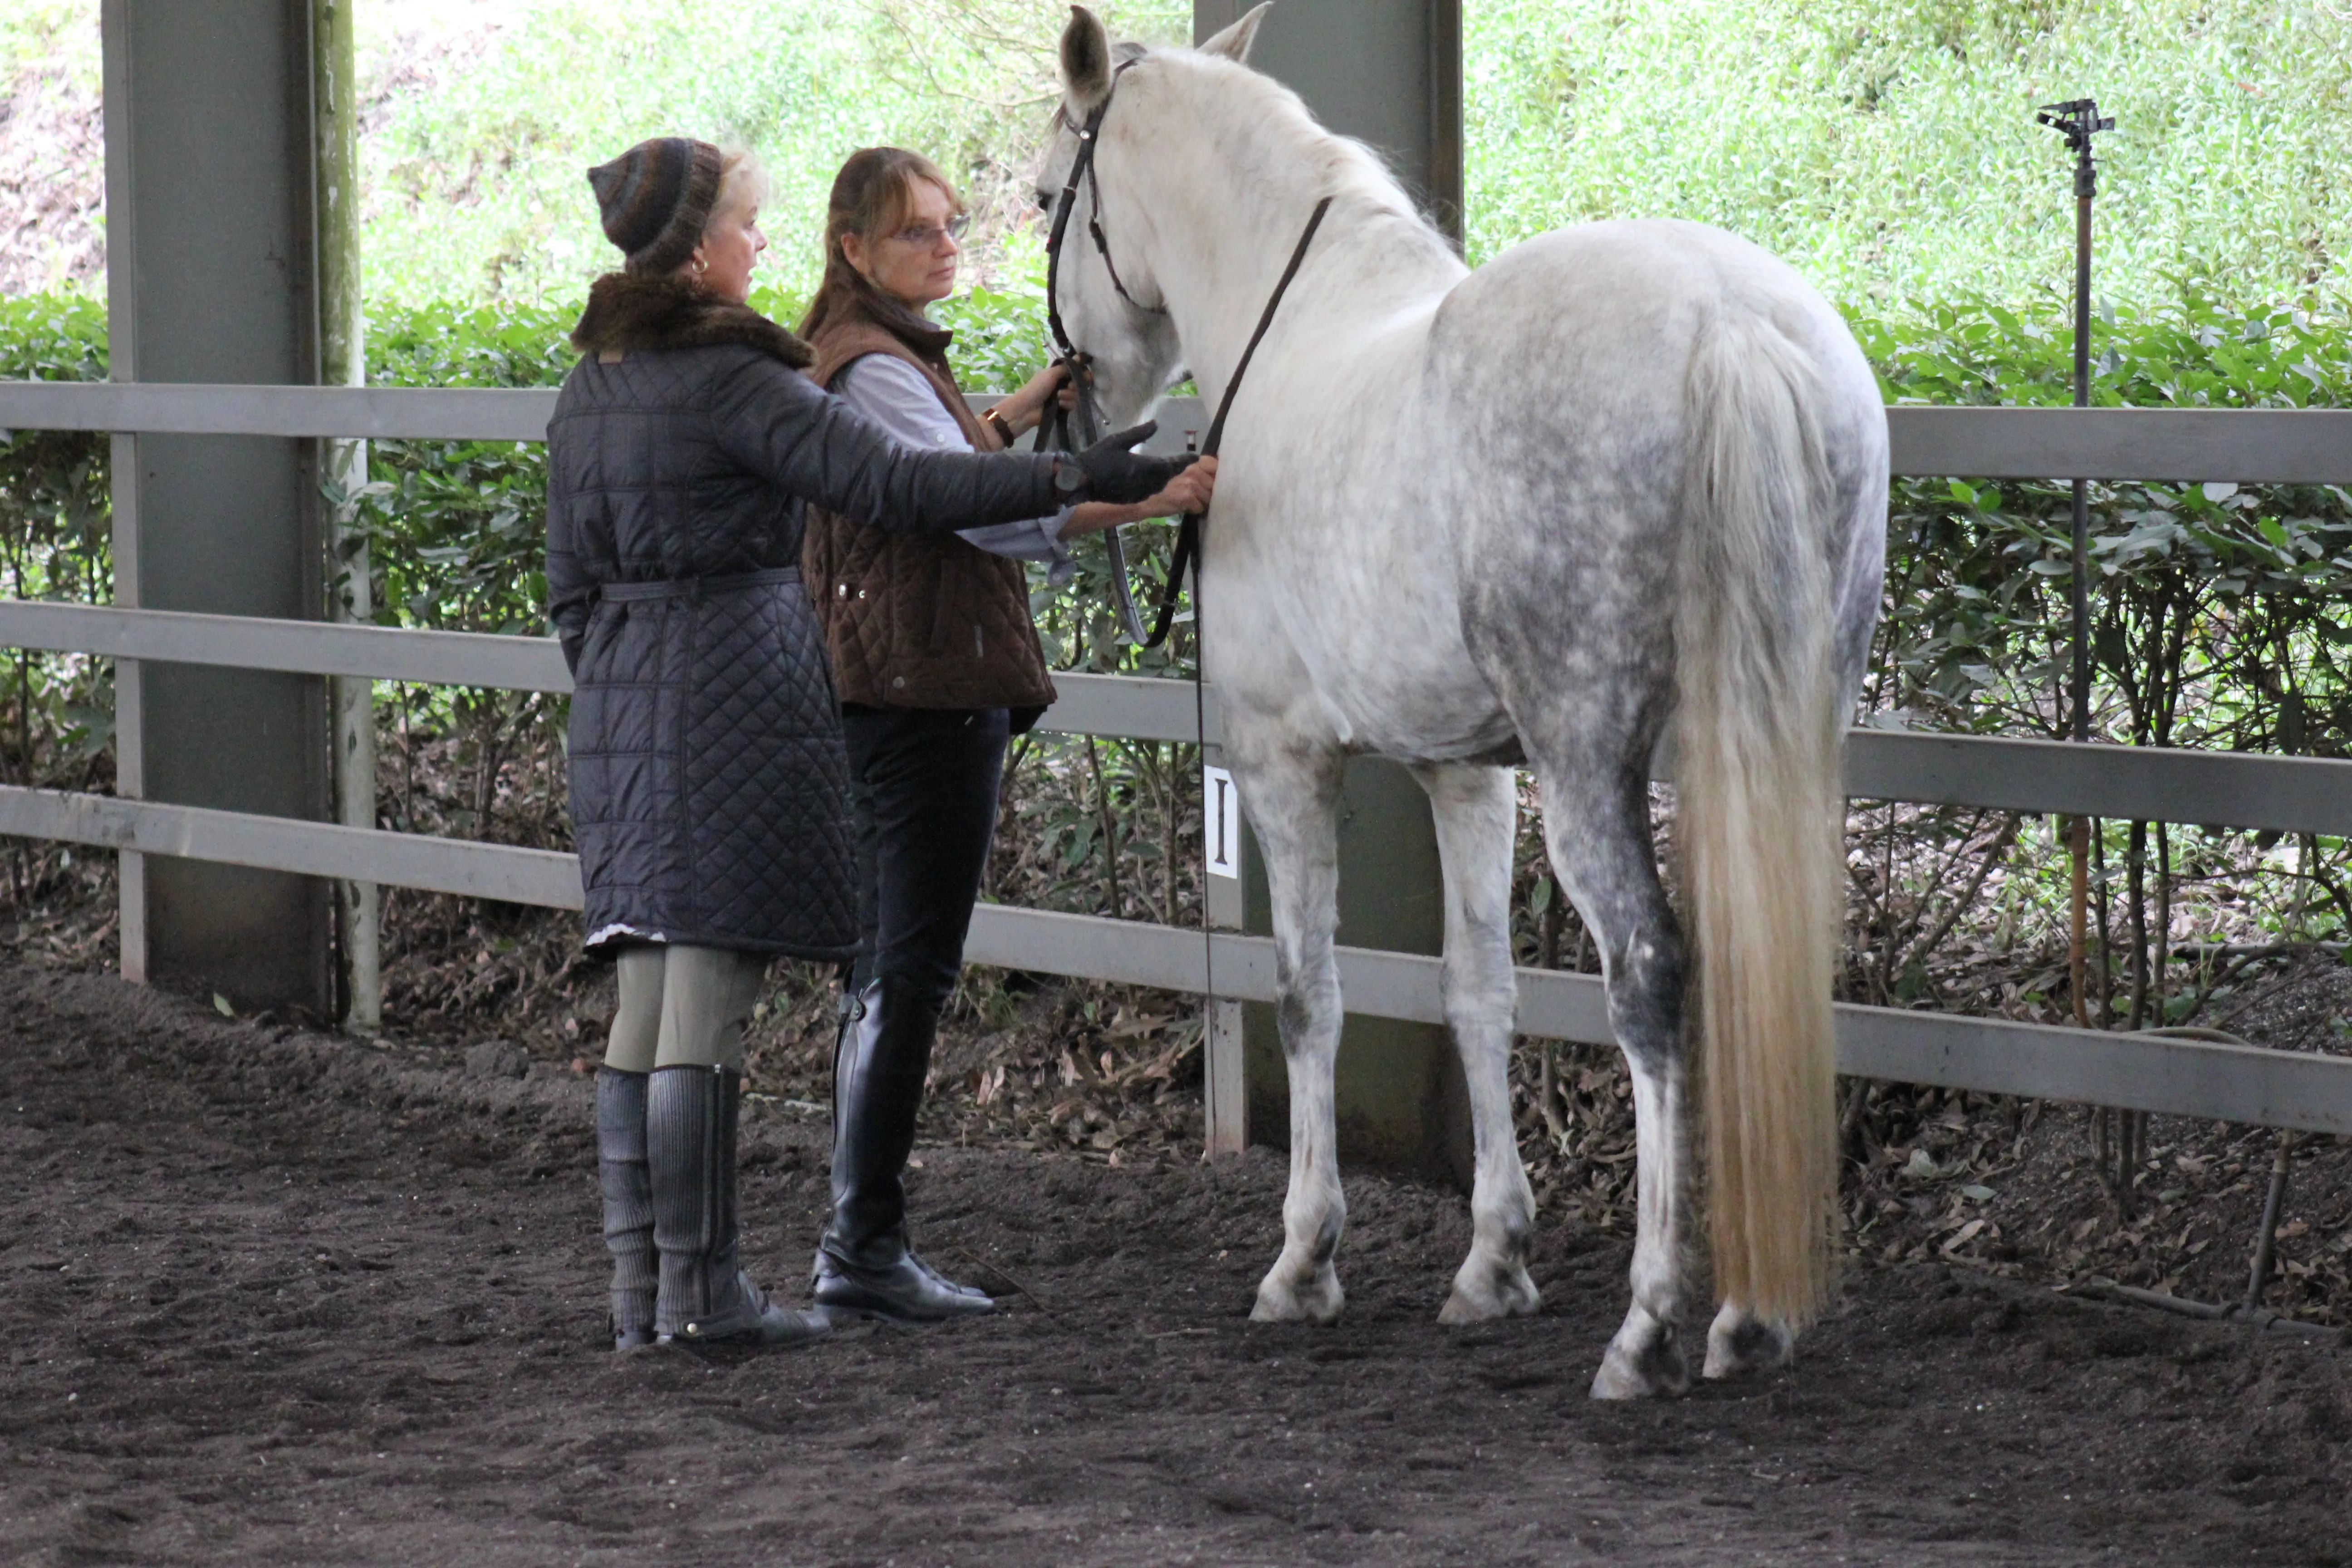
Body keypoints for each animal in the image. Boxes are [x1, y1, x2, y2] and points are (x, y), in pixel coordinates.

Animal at [1049, 3, 1891, 1401]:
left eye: (1043, 193)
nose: (1077, 409)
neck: (1297, 334)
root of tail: (1728, 322)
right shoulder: (1469, 771)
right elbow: (1477, 991)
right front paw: (1492, 1261)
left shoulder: (1283, 759)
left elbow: (1309, 992)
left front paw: (1304, 1261)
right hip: (1775, 729)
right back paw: (1743, 1317)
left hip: (1589, 752)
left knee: (1651, 975)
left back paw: (1649, 1325)